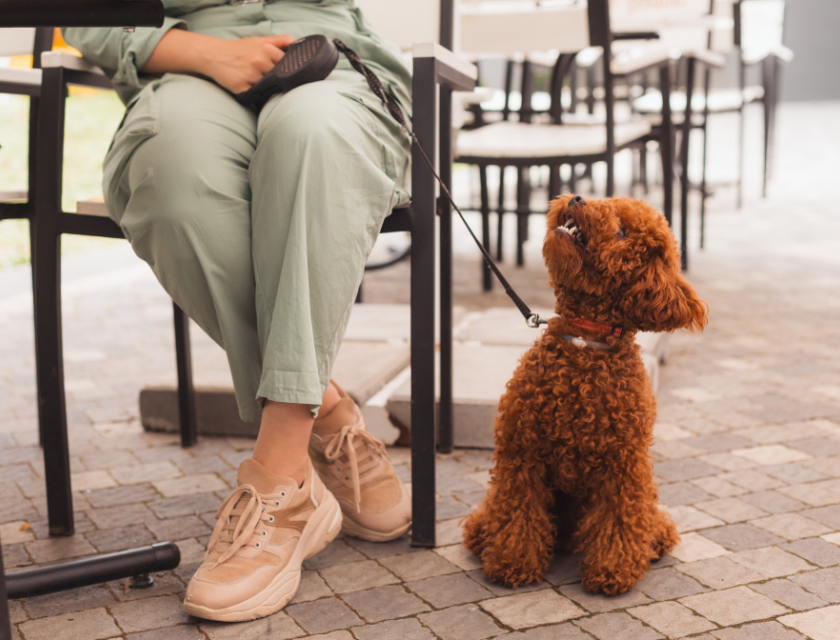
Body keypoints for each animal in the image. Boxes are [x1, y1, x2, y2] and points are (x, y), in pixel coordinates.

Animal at [462, 194, 704, 596]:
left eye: (622, 231)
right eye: (607, 202)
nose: (576, 197)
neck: (583, 342)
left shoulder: (623, 466)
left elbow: (618, 520)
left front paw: (612, 571)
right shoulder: (521, 455)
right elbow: (517, 514)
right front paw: (512, 563)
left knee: (645, 518)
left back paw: (655, 538)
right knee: (497, 514)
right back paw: (483, 535)